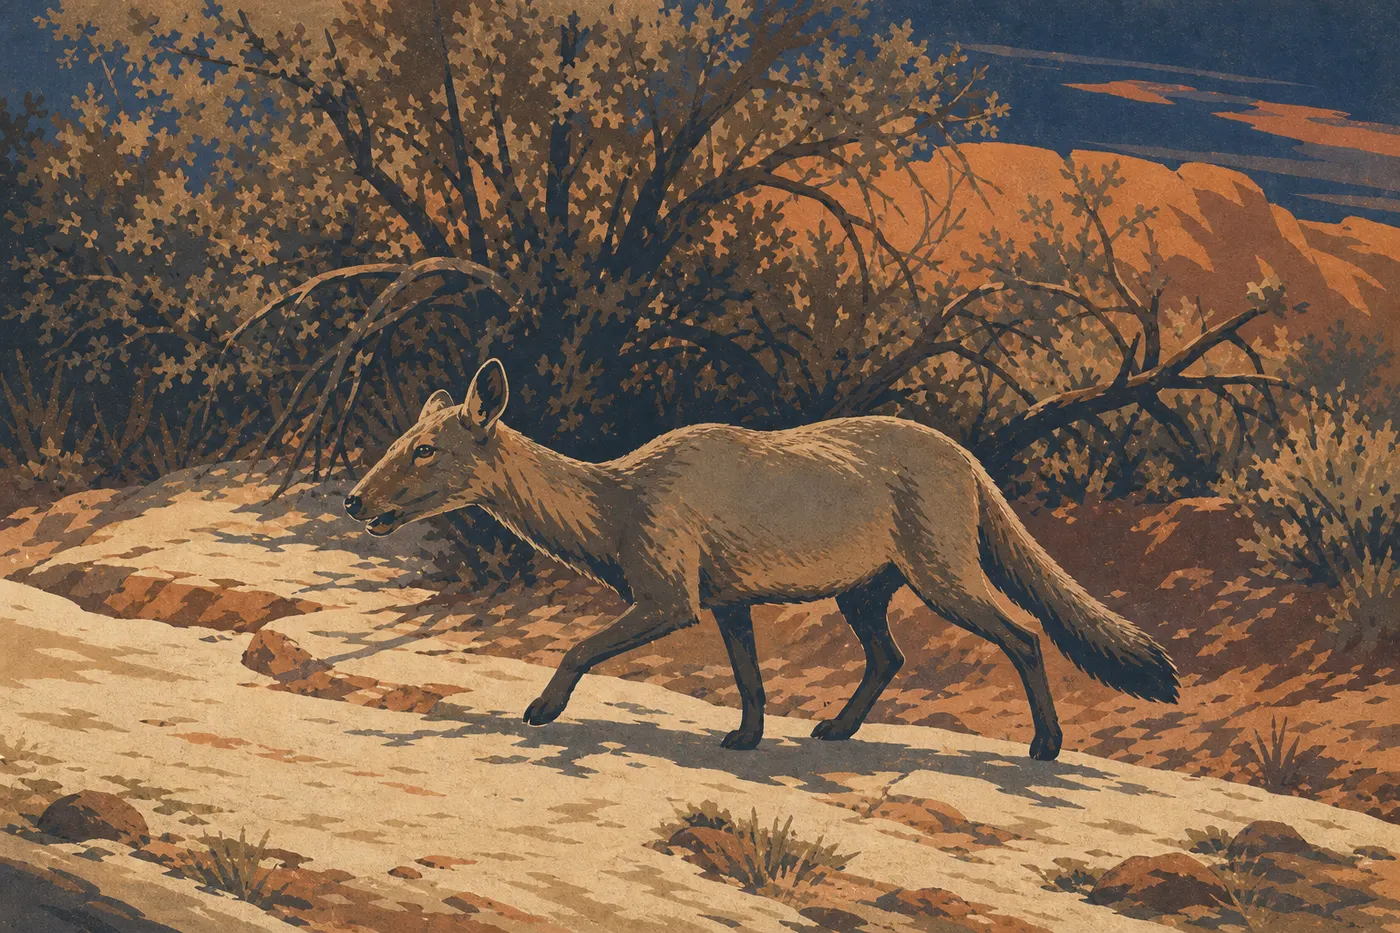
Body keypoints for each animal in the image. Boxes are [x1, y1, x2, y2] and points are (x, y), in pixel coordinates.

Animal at [345, 358, 1179, 759]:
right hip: (864, 594)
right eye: (397, 444)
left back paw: (1046, 744)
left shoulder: (670, 598)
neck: (618, 500)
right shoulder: (727, 603)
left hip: (942, 578)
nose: (353, 499)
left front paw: (543, 710)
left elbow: (578, 647)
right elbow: (750, 681)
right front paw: (746, 740)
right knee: (891, 658)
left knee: (1026, 635)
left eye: (423, 451)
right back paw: (837, 729)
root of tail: (966, 456)